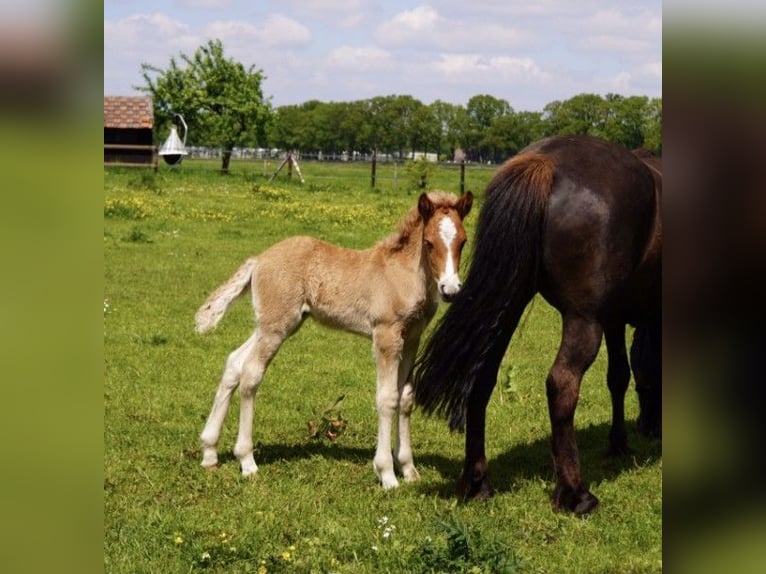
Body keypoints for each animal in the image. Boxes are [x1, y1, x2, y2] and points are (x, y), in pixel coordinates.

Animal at [195, 190, 473, 489]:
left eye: (463, 241)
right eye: (429, 243)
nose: (450, 290)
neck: (402, 275)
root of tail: (259, 259)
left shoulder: (411, 338)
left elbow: (406, 398)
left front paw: (409, 469)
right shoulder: (385, 335)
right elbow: (387, 399)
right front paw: (387, 474)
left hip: (275, 324)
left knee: (234, 362)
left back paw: (209, 453)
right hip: (276, 327)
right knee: (250, 374)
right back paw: (247, 461)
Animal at [413, 135, 661, 514]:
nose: (650, 427)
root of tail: (545, 163)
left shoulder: (615, 318)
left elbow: (618, 376)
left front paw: (618, 443)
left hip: (509, 304)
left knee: (481, 378)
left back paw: (477, 482)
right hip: (582, 319)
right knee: (562, 384)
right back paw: (575, 494)